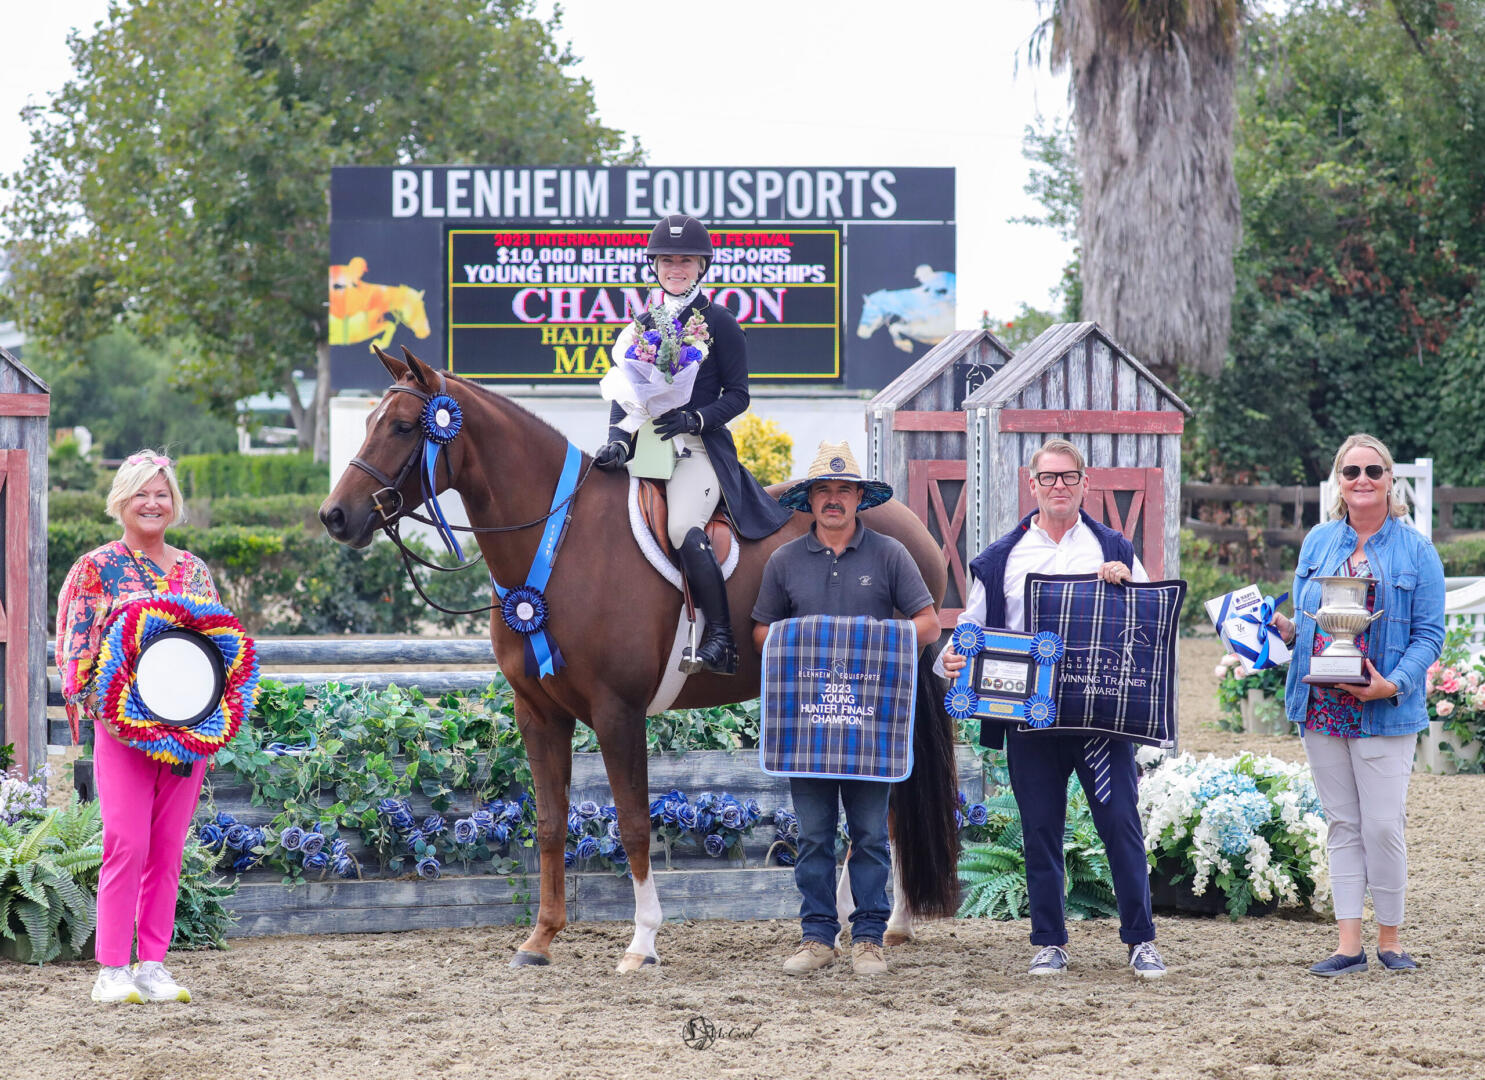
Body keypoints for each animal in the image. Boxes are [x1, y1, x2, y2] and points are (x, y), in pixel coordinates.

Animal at [317, 346, 956, 974]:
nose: (335, 517)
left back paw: (882, 924)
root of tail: (909, 523)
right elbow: (549, 823)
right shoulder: (538, 712)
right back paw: (865, 924)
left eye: (403, 426)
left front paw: (642, 941)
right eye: (370, 422)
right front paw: (540, 939)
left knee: (888, 805)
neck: (561, 544)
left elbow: (632, 825)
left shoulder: (616, 713)